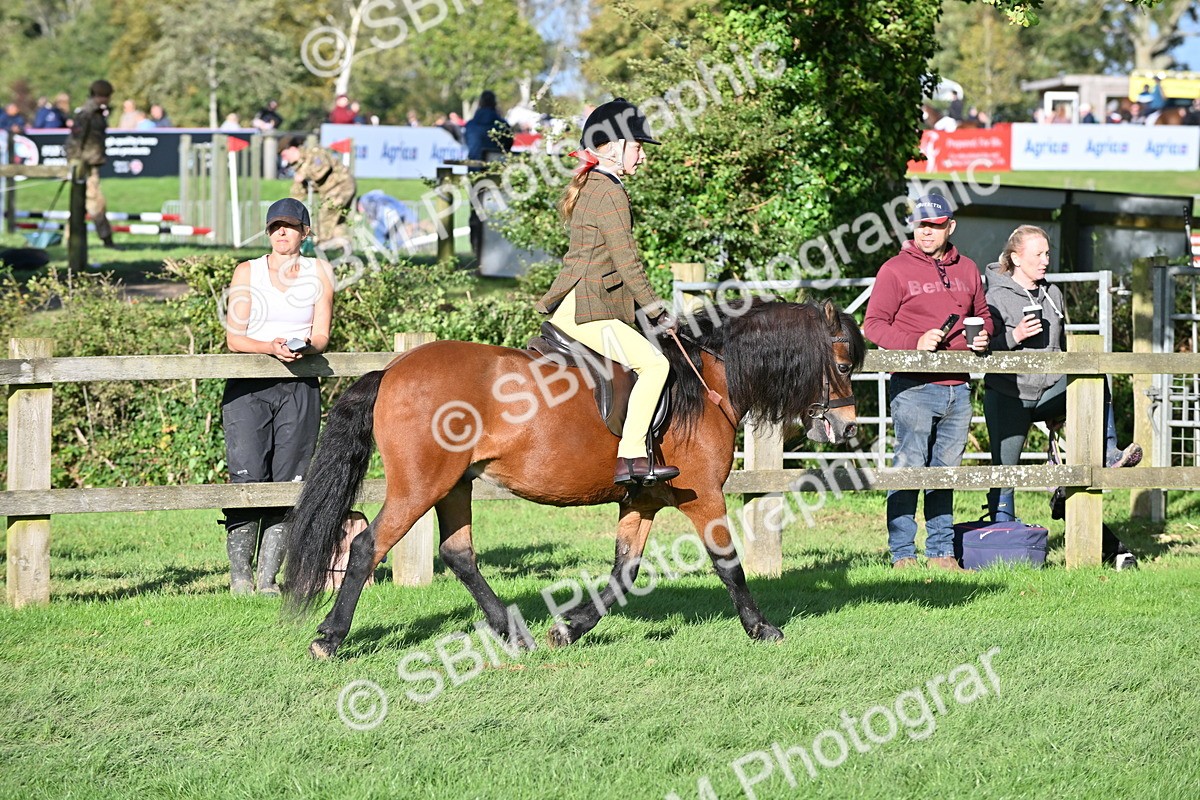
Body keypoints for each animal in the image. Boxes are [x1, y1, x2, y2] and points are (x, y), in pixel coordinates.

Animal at [283, 298, 865, 659]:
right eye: (842, 364)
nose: (847, 426)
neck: (708, 380)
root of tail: (392, 371)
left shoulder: (644, 499)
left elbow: (624, 573)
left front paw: (568, 629)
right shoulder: (703, 496)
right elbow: (728, 564)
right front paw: (762, 627)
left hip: (454, 484)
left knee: (458, 554)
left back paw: (514, 633)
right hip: (419, 486)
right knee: (368, 547)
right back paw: (329, 638)